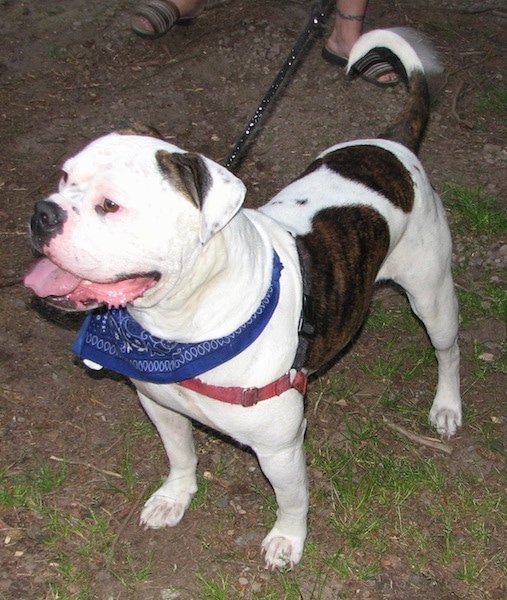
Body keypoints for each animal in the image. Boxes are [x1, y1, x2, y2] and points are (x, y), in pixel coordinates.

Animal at [25, 29, 462, 572]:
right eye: (64, 178)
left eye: (111, 205)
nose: (41, 212)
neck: (179, 327)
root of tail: (393, 142)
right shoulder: (160, 405)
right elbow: (181, 455)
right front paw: (174, 497)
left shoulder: (280, 448)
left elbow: (293, 499)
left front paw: (288, 540)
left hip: (432, 295)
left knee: (448, 350)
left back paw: (447, 406)